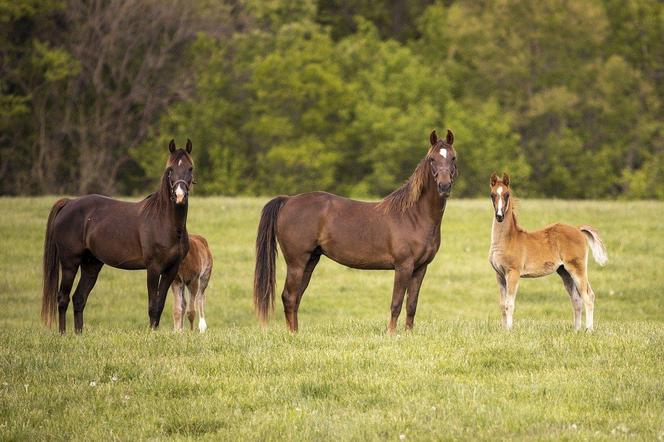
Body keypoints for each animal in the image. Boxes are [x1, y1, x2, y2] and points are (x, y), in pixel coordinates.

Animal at [41, 140, 195, 334]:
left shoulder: (171, 269)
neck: (164, 222)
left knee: (79, 298)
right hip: (70, 263)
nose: (180, 196)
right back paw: (63, 334)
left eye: (190, 168)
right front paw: (151, 334)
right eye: (170, 169)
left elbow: (159, 305)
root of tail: (69, 203)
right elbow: (152, 305)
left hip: (91, 265)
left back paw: (78, 334)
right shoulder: (153, 268)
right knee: (63, 298)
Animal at [252, 129, 460, 334]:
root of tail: (287, 200)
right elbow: (396, 303)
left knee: (295, 298)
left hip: (310, 260)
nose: (444, 186)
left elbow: (412, 305)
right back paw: (293, 336)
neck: (413, 215)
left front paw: (408, 334)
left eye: (453, 158)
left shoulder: (420, 268)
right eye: (432, 159)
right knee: (289, 296)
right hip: (296, 261)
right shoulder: (404, 266)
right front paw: (391, 334)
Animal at [488, 173, 608, 332]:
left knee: (588, 297)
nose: (499, 216)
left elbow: (509, 304)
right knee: (576, 299)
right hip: (565, 272)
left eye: (507, 194)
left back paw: (588, 330)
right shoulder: (499, 275)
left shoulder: (513, 273)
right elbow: (502, 305)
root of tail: (578, 229)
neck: (507, 240)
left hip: (578, 268)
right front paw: (503, 330)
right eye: (492, 195)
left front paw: (509, 331)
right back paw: (576, 330)